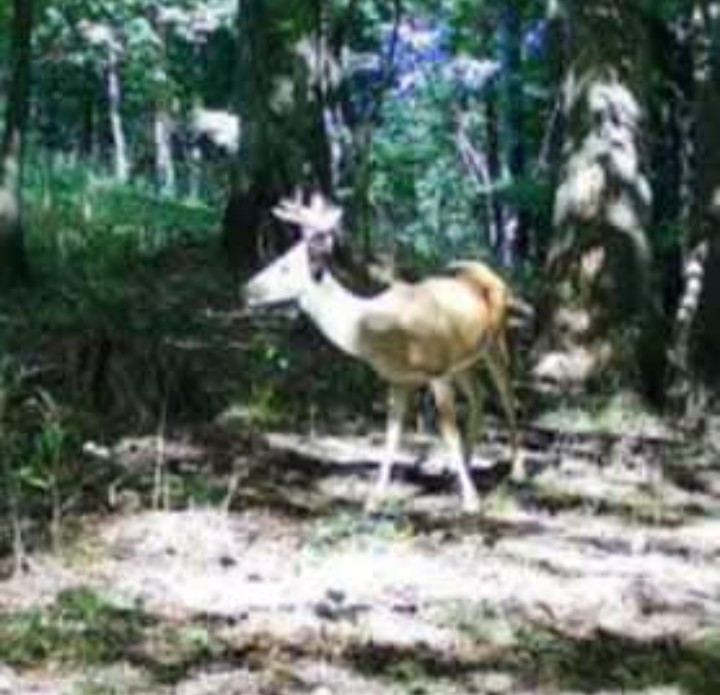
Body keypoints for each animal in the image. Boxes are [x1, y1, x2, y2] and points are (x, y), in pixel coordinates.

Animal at [243, 194, 522, 513]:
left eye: (284, 266)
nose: (245, 290)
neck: (377, 331)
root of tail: (487, 270)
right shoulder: (398, 378)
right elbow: (391, 436)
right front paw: (374, 500)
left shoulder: (436, 369)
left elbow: (448, 432)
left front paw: (472, 501)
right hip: (463, 361)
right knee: (479, 397)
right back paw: (461, 465)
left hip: (495, 341)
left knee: (507, 396)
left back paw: (517, 471)